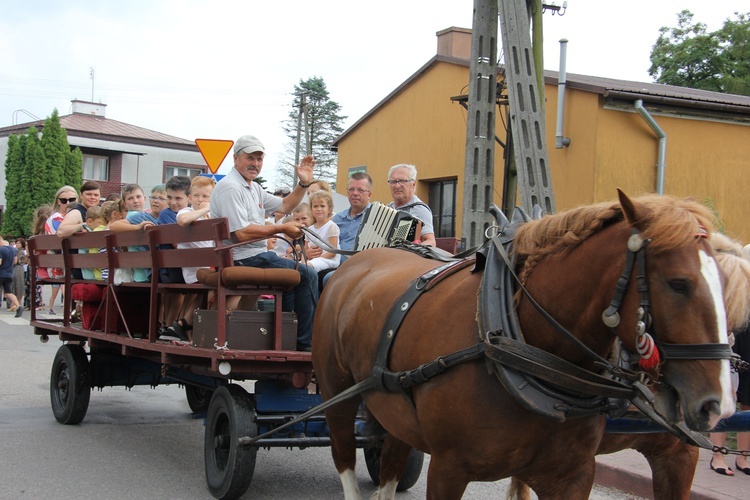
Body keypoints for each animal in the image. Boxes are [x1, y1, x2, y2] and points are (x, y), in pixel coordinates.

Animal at [310, 192, 736, 500]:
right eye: (678, 284)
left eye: (725, 282)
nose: (719, 404)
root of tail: (355, 262)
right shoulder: (448, 468)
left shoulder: (576, 475)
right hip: (337, 394)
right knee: (343, 453)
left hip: (394, 405)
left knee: (392, 461)